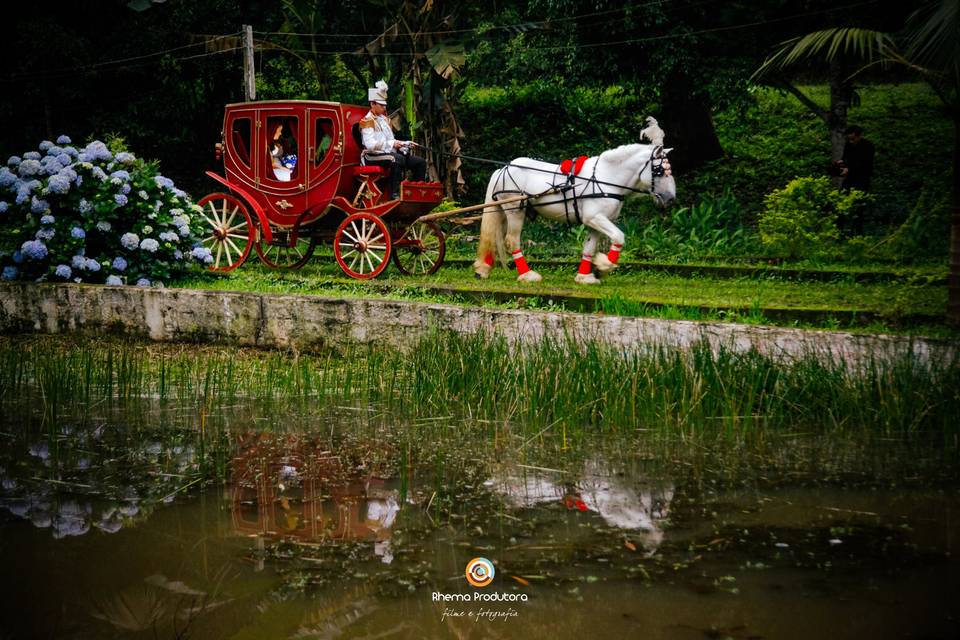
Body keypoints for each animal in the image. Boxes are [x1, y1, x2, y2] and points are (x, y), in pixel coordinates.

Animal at [472, 115, 676, 284]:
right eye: (660, 171)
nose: (670, 199)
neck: (606, 177)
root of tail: (503, 169)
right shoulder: (594, 217)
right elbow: (619, 236)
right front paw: (604, 266)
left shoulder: (596, 222)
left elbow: (589, 248)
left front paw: (585, 276)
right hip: (515, 210)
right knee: (512, 241)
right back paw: (528, 275)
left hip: (503, 210)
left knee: (493, 236)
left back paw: (483, 269)